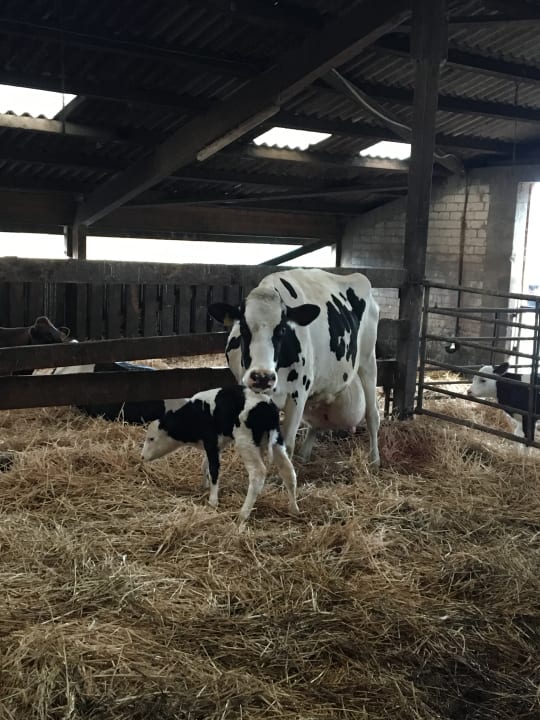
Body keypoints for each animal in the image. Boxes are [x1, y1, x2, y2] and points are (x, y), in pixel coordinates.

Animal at [142, 385, 299, 523]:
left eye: (151, 438)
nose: (142, 456)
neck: (195, 413)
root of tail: (267, 405)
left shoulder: (210, 440)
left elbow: (213, 470)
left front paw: (213, 501)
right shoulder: (217, 443)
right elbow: (205, 465)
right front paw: (204, 486)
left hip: (245, 442)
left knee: (258, 473)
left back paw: (243, 514)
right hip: (276, 441)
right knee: (288, 471)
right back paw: (294, 509)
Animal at [208, 268, 379, 465]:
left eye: (282, 330)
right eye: (243, 328)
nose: (262, 377)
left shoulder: (298, 394)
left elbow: (287, 445)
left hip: (368, 361)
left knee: (372, 415)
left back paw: (375, 459)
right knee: (317, 424)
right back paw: (304, 455)